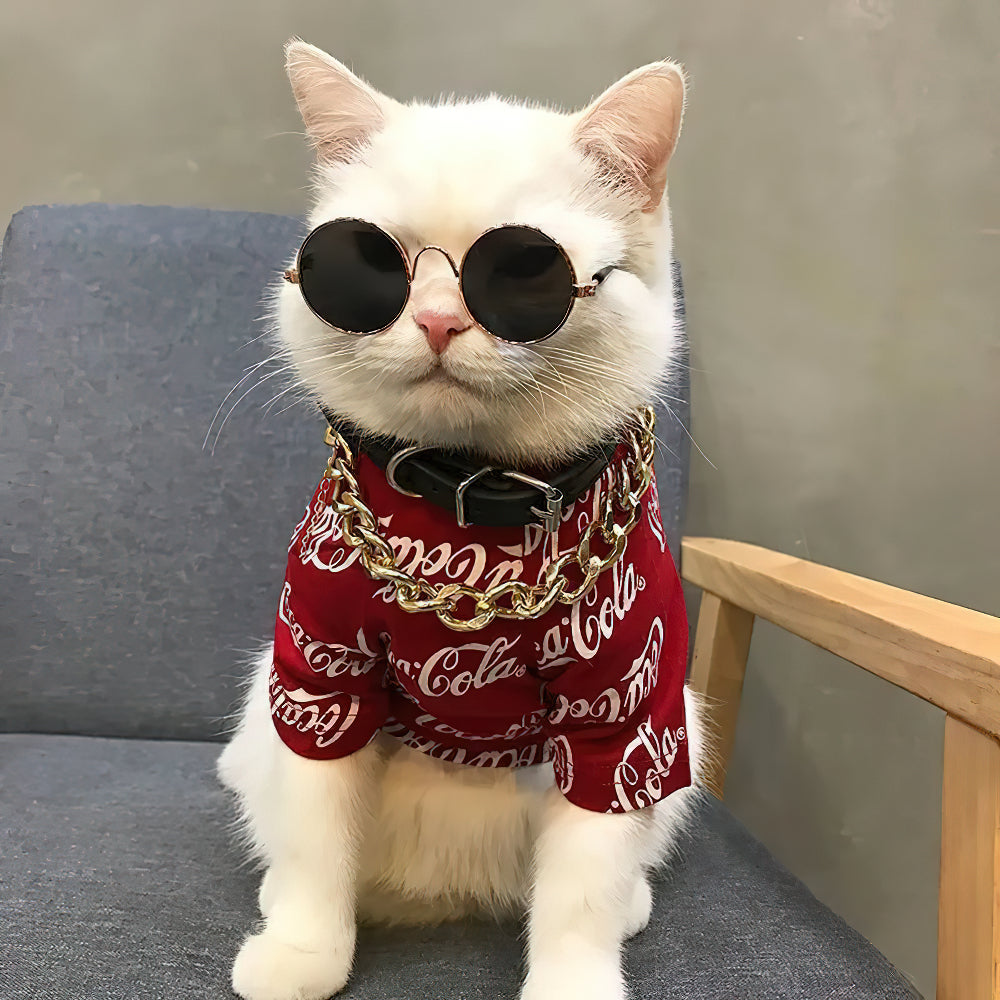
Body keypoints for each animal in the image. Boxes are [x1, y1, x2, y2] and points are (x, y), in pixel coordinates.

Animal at [218, 39, 704, 1000]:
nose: (440, 320)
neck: (471, 507)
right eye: (369, 264)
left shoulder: (624, 718)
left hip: (686, 734)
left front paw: (574, 982)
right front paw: (303, 951)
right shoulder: (320, 682)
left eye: (525, 272)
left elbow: (583, 889)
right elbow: (316, 843)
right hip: (263, 705)